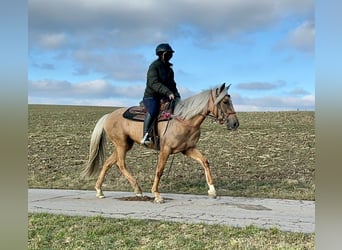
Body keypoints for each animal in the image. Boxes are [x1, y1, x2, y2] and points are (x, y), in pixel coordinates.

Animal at [81, 83, 239, 202]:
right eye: (225, 102)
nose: (235, 123)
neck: (184, 120)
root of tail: (109, 115)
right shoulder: (165, 149)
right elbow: (159, 170)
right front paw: (157, 195)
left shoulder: (188, 149)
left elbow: (205, 162)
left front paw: (212, 190)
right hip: (121, 145)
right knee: (121, 164)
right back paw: (137, 189)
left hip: (125, 145)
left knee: (108, 163)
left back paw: (99, 190)